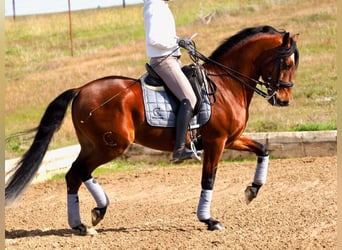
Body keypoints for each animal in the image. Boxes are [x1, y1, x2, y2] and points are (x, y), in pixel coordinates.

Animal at [6, 24, 300, 232]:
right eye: (287, 63)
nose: (284, 100)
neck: (226, 84)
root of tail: (80, 89)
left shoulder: (231, 139)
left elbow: (262, 149)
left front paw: (253, 190)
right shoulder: (216, 142)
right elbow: (208, 179)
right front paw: (209, 220)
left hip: (94, 145)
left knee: (75, 174)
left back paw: (86, 220)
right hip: (112, 145)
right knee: (78, 172)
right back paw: (89, 218)